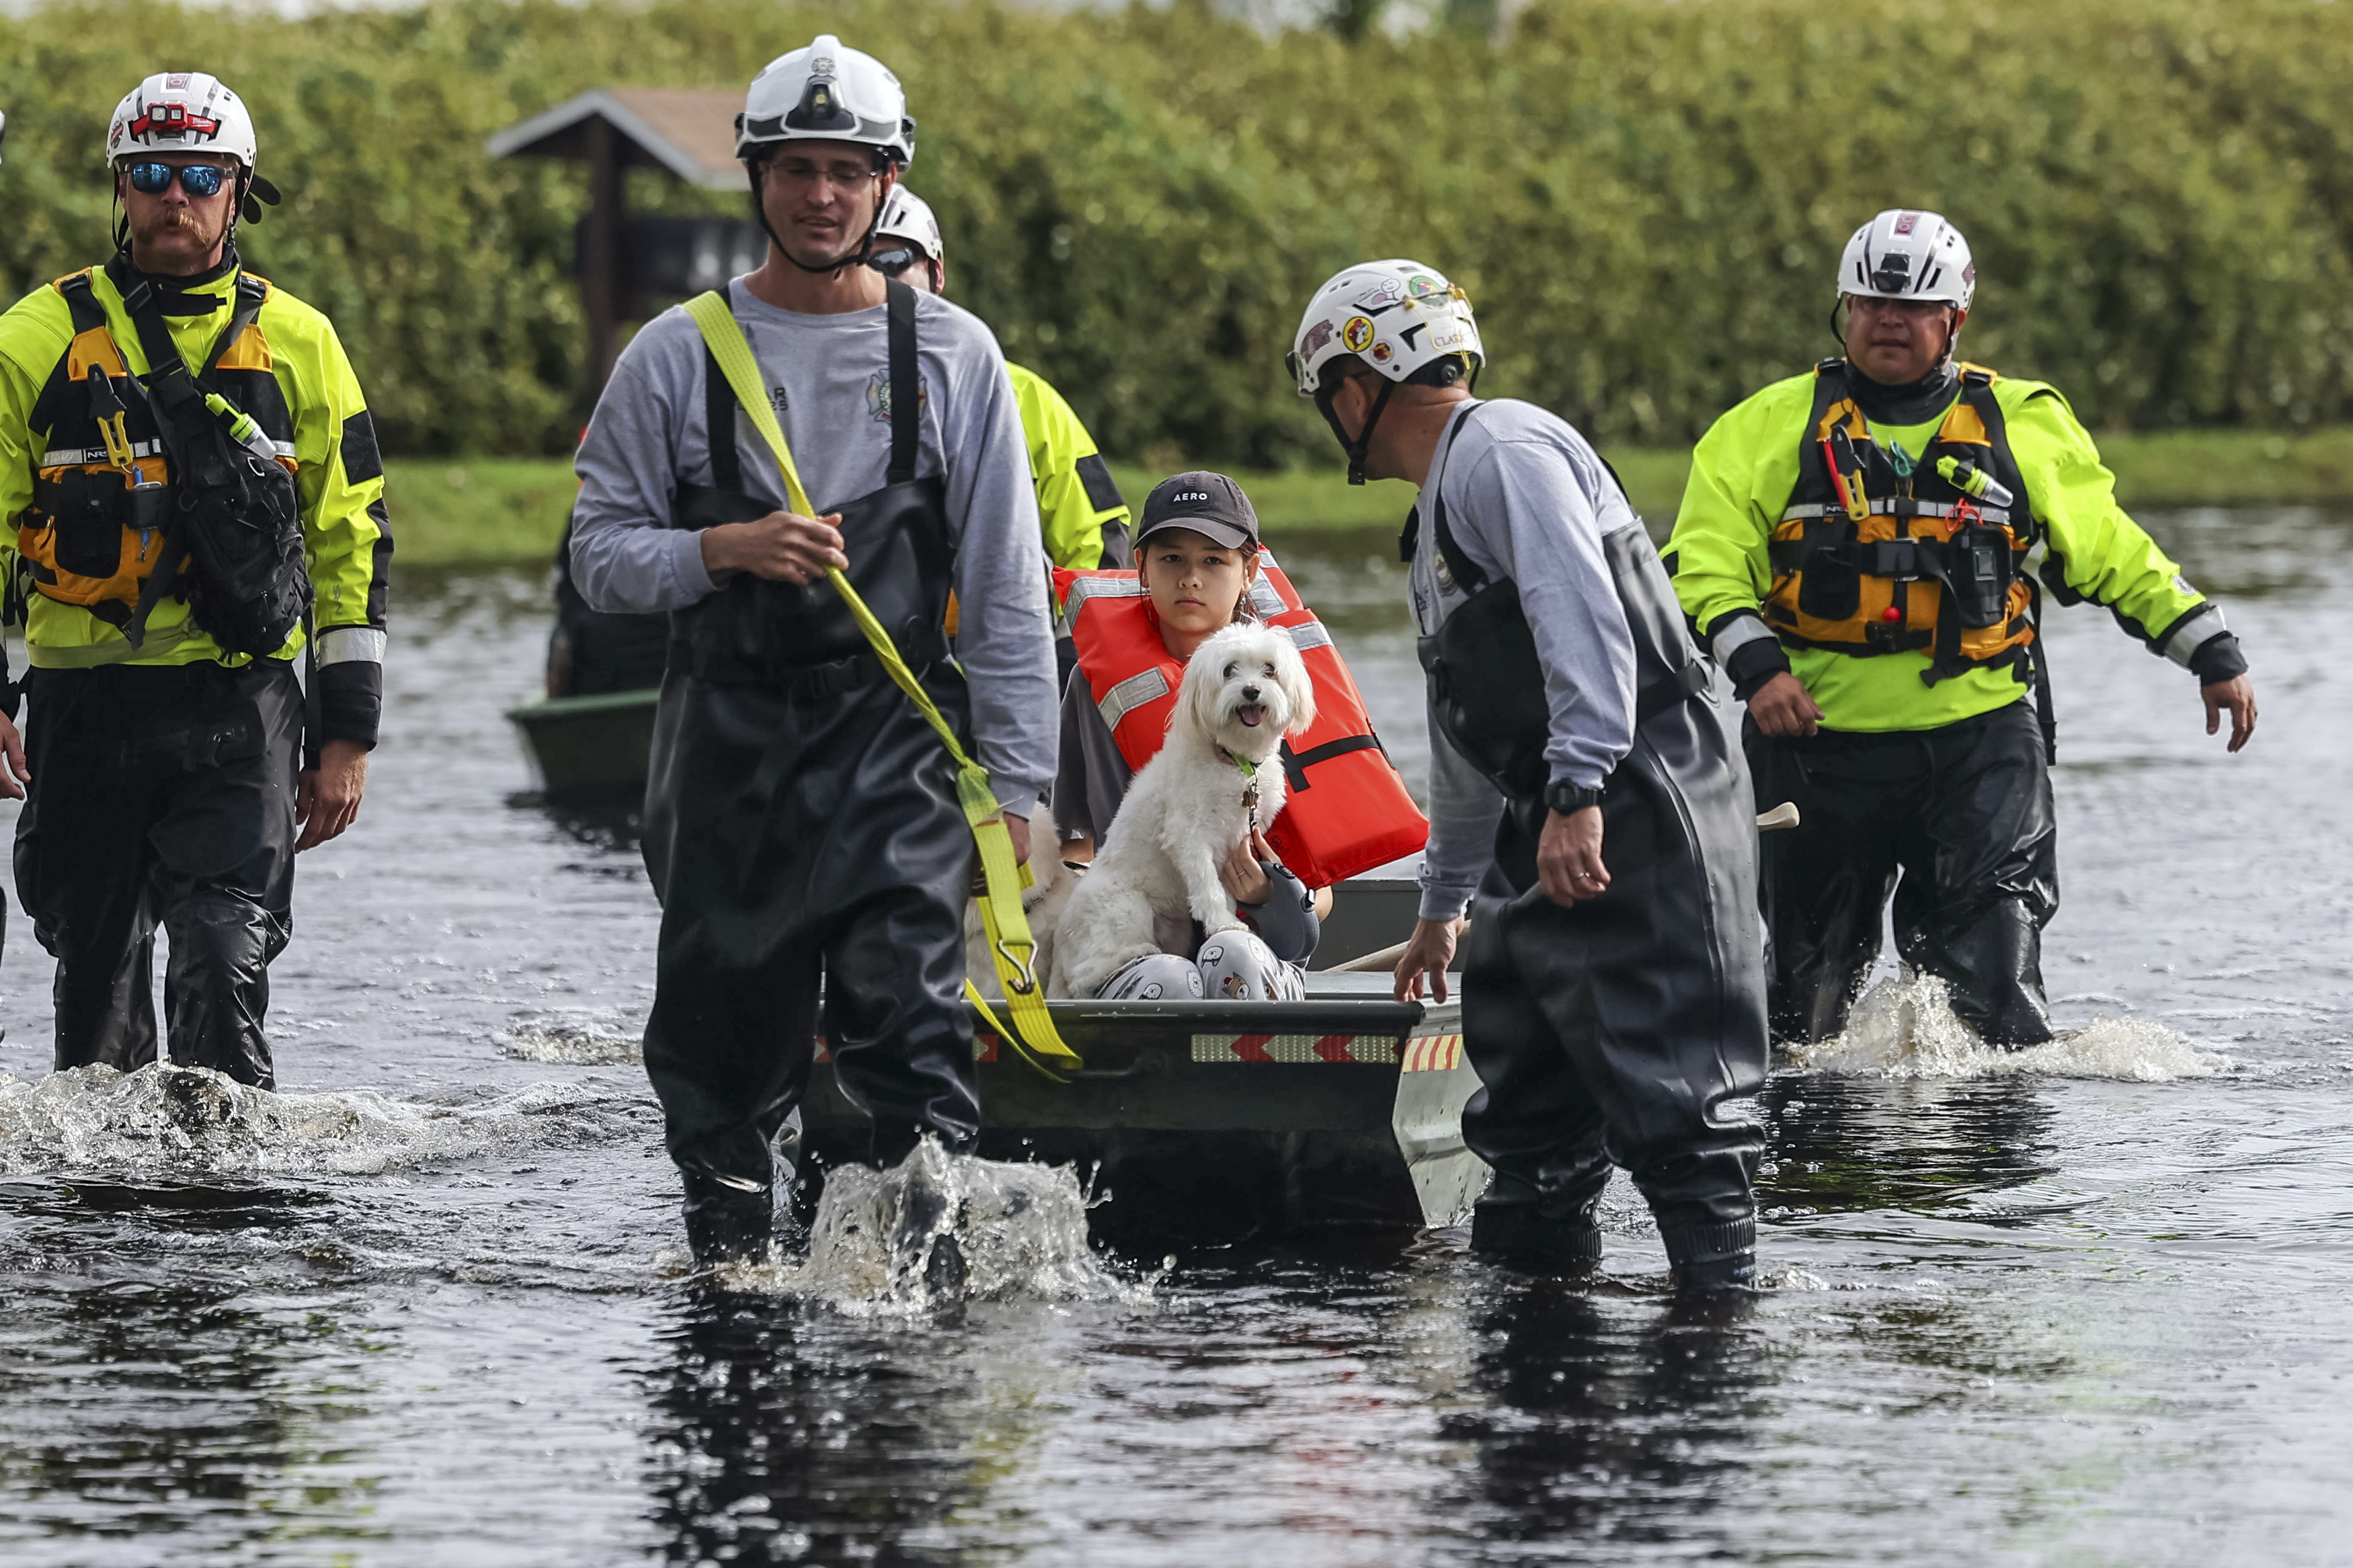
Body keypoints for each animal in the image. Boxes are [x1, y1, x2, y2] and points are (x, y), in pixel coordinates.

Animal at [1054, 620, 1327, 1001]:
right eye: (1229, 670)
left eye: (1270, 669)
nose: (1252, 691)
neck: (1234, 762)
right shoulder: (1189, 836)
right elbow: (1208, 885)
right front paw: (1224, 922)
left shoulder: (1236, 842)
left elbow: (1225, 889)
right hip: (1126, 907)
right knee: (1085, 975)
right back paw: (1136, 951)